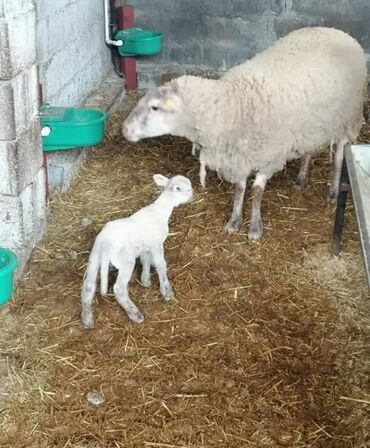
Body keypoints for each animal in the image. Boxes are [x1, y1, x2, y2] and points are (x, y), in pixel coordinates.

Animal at [81, 173, 194, 328]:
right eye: (178, 188)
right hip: (126, 261)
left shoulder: (146, 246)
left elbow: (146, 259)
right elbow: (160, 265)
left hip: (94, 257)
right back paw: (134, 313)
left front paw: (145, 280)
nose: (191, 194)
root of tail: (106, 244)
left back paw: (87, 318)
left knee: (88, 285)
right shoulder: (157, 243)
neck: (160, 211)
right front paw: (167, 291)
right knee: (118, 288)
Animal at [122, 25, 368, 242]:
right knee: (309, 150)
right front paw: (234, 221)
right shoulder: (239, 156)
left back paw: (333, 191)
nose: (124, 129)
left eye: (154, 107)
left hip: (348, 118)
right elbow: (240, 189)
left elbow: (257, 192)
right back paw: (300, 180)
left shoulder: (267, 156)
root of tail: (336, 31)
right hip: (312, 125)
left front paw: (255, 228)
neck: (232, 104)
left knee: (339, 156)